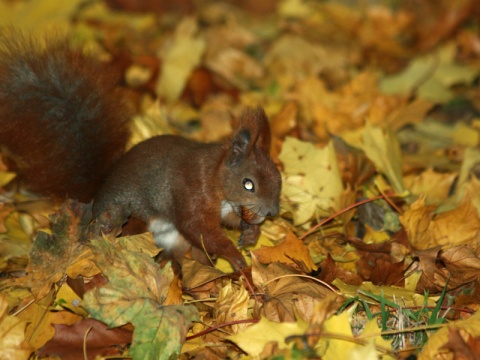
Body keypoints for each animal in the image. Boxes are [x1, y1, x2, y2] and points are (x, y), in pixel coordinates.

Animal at [0, 32, 282, 270]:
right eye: (248, 184)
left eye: (279, 177)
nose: (272, 212)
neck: (215, 178)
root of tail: (94, 201)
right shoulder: (192, 193)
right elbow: (199, 229)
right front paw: (233, 254)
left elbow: (225, 222)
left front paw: (250, 233)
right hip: (130, 218)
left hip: (171, 238)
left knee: (177, 254)